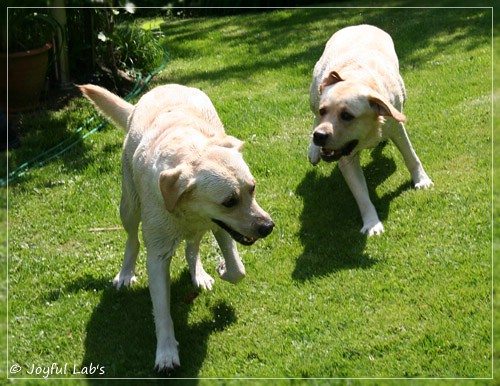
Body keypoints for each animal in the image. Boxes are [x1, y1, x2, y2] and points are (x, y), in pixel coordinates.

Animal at [79, 83, 274, 370]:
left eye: (253, 188)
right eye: (229, 201)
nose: (268, 226)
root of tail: (162, 87)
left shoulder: (222, 227)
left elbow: (238, 270)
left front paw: (222, 268)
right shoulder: (158, 257)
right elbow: (162, 312)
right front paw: (166, 352)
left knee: (192, 247)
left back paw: (199, 274)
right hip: (129, 206)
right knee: (132, 240)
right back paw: (126, 273)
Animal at [306, 24, 432, 235]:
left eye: (347, 116)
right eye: (325, 111)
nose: (319, 136)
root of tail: (359, 25)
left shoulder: (396, 127)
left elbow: (411, 156)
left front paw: (421, 180)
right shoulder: (346, 156)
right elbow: (361, 195)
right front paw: (372, 223)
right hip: (314, 93)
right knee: (313, 116)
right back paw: (314, 150)